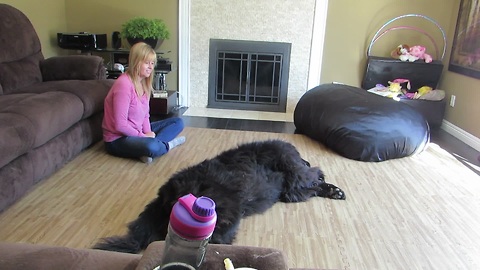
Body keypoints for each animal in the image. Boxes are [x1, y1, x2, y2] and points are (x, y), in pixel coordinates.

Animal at [94, 139, 346, 253]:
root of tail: (165, 196)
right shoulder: (294, 180)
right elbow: (311, 180)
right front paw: (329, 186)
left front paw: (332, 189)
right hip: (227, 211)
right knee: (217, 240)